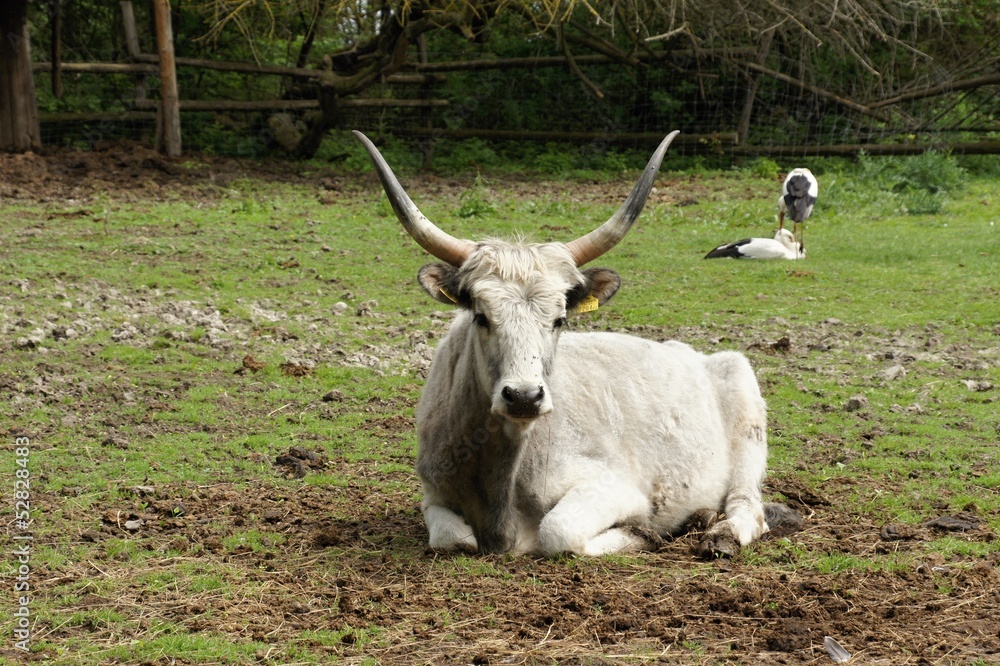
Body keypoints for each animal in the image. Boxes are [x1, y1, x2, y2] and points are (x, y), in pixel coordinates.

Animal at [354, 130, 799, 558]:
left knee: (747, 506)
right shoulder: (434, 495)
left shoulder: (612, 488)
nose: (524, 396)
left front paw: (642, 534)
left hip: (746, 422)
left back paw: (718, 533)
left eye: (560, 320)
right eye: (481, 316)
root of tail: (694, 354)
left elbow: (558, 531)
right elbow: (452, 538)